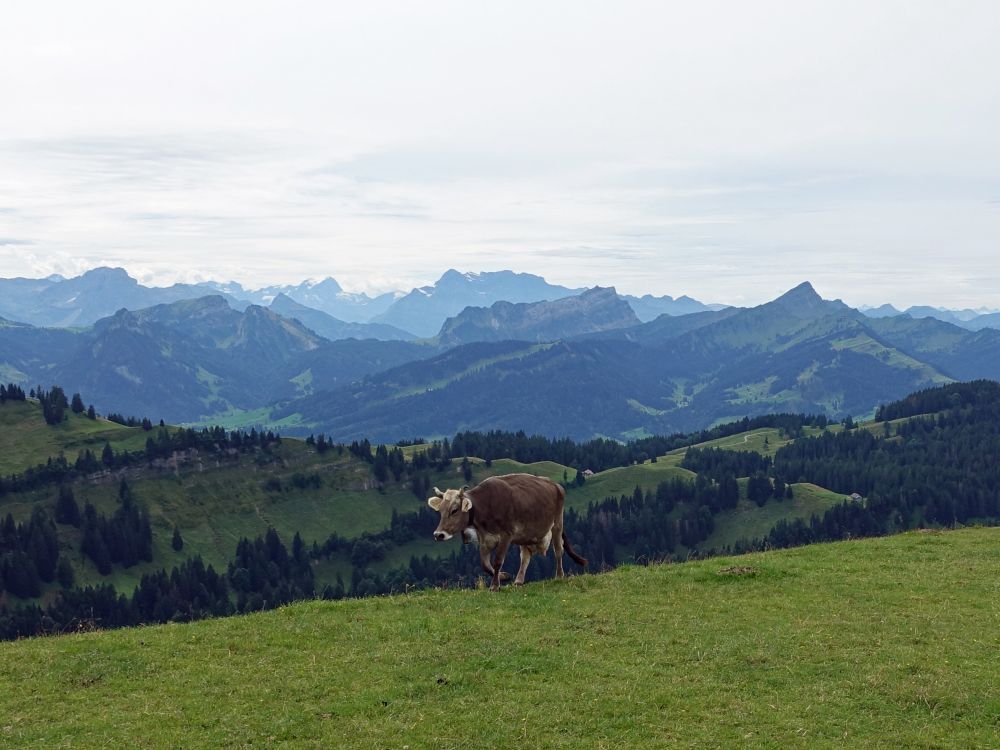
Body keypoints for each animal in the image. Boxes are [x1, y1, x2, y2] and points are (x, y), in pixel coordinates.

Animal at [428, 476, 584, 592]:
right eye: (440, 510)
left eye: (454, 510)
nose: (438, 534)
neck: (485, 505)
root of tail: (555, 484)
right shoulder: (484, 538)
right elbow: (485, 564)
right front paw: (503, 576)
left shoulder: (506, 535)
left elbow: (498, 560)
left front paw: (495, 585)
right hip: (525, 536)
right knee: (525, 557)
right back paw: (518, 580)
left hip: (557, 525)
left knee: (558, 550)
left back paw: (559, 576)